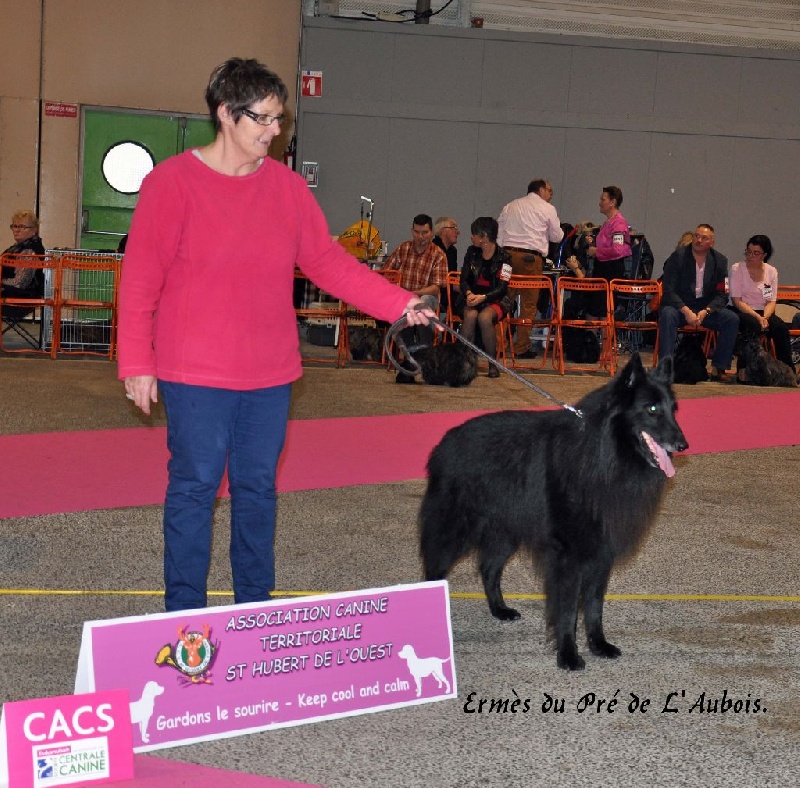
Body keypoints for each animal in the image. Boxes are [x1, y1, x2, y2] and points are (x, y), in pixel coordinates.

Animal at [418, 354, 688, 668]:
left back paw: (500, 610)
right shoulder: (568, 558)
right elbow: (568, 610)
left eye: (673, 409)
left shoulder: (600, 556)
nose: (683, 445)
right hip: (454, 531)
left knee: (488, 569)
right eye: (652, 409)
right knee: (435, 570)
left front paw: (598, 645)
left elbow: (594, 606)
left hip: (504, 534)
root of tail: (445, 442)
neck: (603, 456)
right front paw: (568, 655)